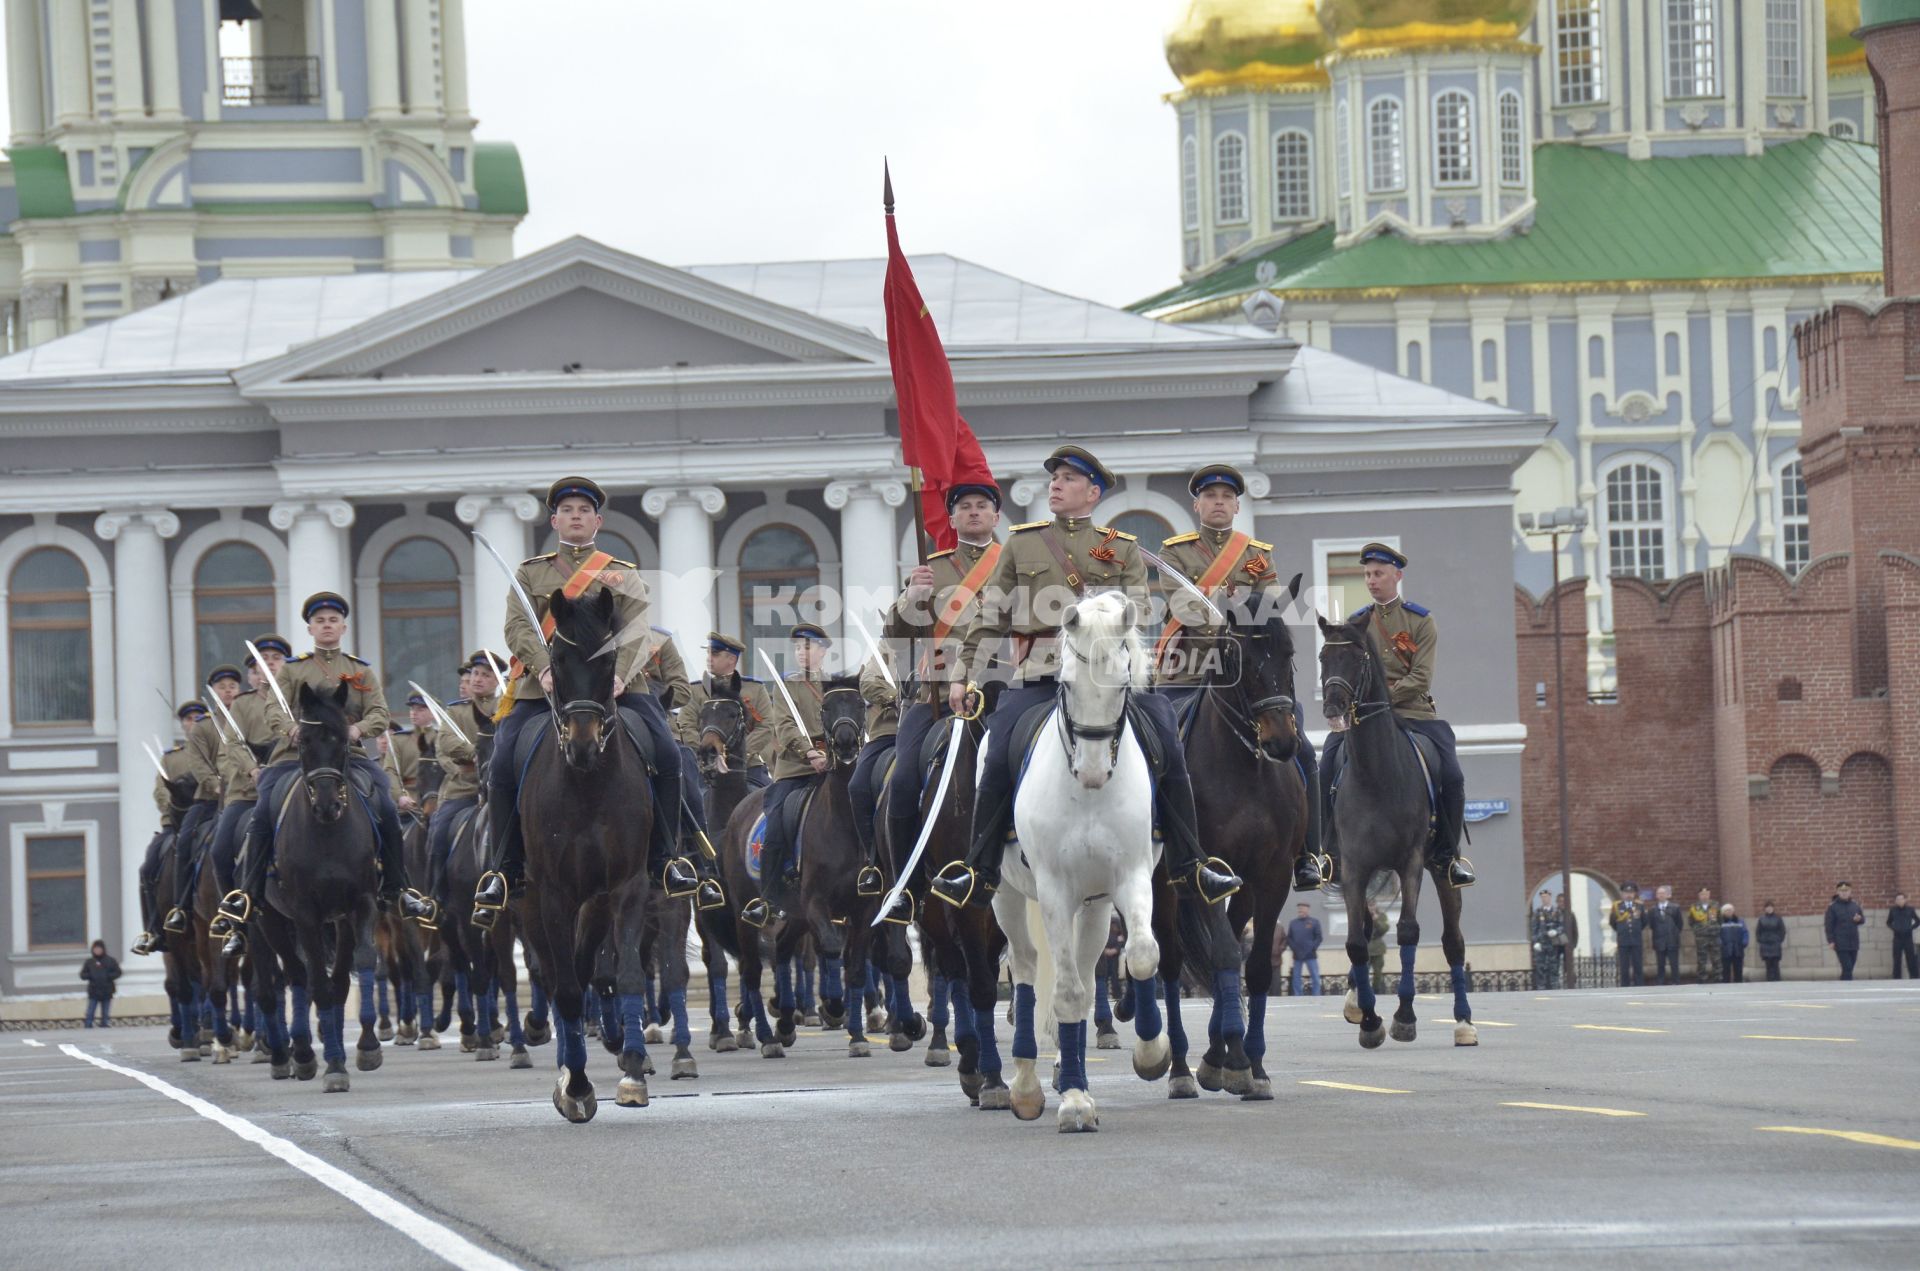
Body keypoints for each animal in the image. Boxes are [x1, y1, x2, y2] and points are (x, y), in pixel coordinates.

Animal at [518, 591, 660, 1128]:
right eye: (557, 659)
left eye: (609, 661)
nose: (581, 744)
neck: (587, 786)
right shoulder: (554, 894)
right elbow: (564, 989)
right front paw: (576, 1086)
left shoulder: (626, 885)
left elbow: (627, 974)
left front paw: (633, 1070)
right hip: (529, 901)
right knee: (557, 978)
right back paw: (565, 1069)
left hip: (595, 902)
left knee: (582, 970)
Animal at [990, 591, 1167, 1136]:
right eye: (1066, 682)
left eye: (1124, 682)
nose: (1091, 772)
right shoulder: (1053, 892)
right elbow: (1064, 992)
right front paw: (1072, 1099)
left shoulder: (1129, 877)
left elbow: (1141, 955)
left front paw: (1152, 1053)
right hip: (1007, 896)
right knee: (1026, 967)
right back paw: (1026, 1085)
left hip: (1093, 906)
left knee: (1090, 976)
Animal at [1313, 618, 1474, 1052]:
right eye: (1323, 656)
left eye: (1358, 657)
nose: (1333, 706)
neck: (1376, 774)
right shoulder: (1353, 867)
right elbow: (1356, 941)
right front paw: (1369, 1020)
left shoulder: (1411, 862)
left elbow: (1407, 932)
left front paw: (1404, 1016)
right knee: (1367, 934)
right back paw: (1357, 1003)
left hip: (1441, 868)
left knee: (1453, 941)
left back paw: (1463, 1022)